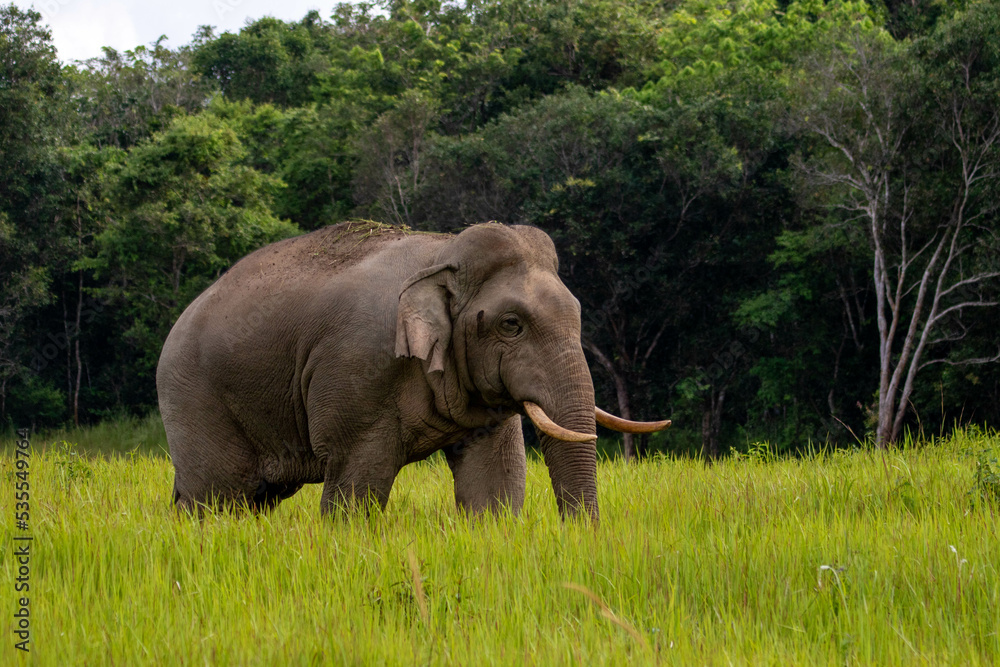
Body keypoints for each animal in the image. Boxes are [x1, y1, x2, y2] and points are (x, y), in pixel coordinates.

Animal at [156, 221, 670, 521]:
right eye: (512, 324)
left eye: (578, 313)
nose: (579, 537)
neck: (443, 255)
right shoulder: (358, 371)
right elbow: (356, 482)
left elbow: (494, 477)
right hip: (195, 396)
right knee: (216, 497)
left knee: (248, 499)